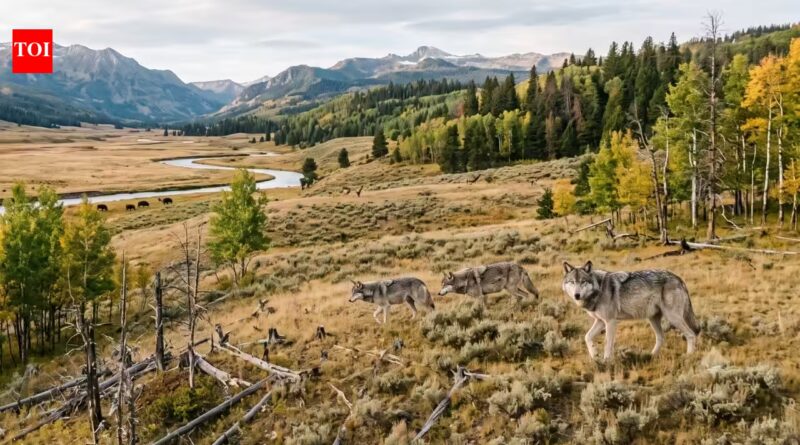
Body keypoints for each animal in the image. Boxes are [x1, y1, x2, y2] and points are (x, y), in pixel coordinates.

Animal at [562, 261, 700, 360]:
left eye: (583, 282)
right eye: (572, 282)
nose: (577, 295)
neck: (599, 289)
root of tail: (678, 278)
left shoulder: (610, 321)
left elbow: (607, 343)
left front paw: (606, 362)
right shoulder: (600, 321)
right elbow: (587, 337)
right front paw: (594, 355)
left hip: (672, 318)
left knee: (691, 334)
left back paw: (689, 356)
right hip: (653, 319)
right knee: (661, 338)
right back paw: (650, 356)